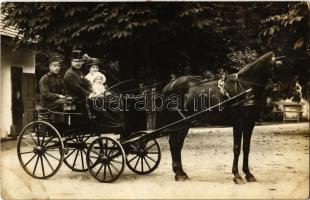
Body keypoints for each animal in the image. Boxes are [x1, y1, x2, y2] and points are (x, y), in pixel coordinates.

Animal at [159, 51, 280, 183]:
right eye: (277, 66)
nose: (271, 104)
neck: (245, 87)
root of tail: (169, 86)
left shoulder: (250, 123)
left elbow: (246, 148)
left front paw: (248, 174)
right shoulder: (238, 123)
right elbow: (237, 148)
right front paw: (237, 175)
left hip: (185, 124)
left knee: (177, 144)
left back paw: (180, 173)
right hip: (179, 123)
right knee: (173, 143)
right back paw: (178, 173)